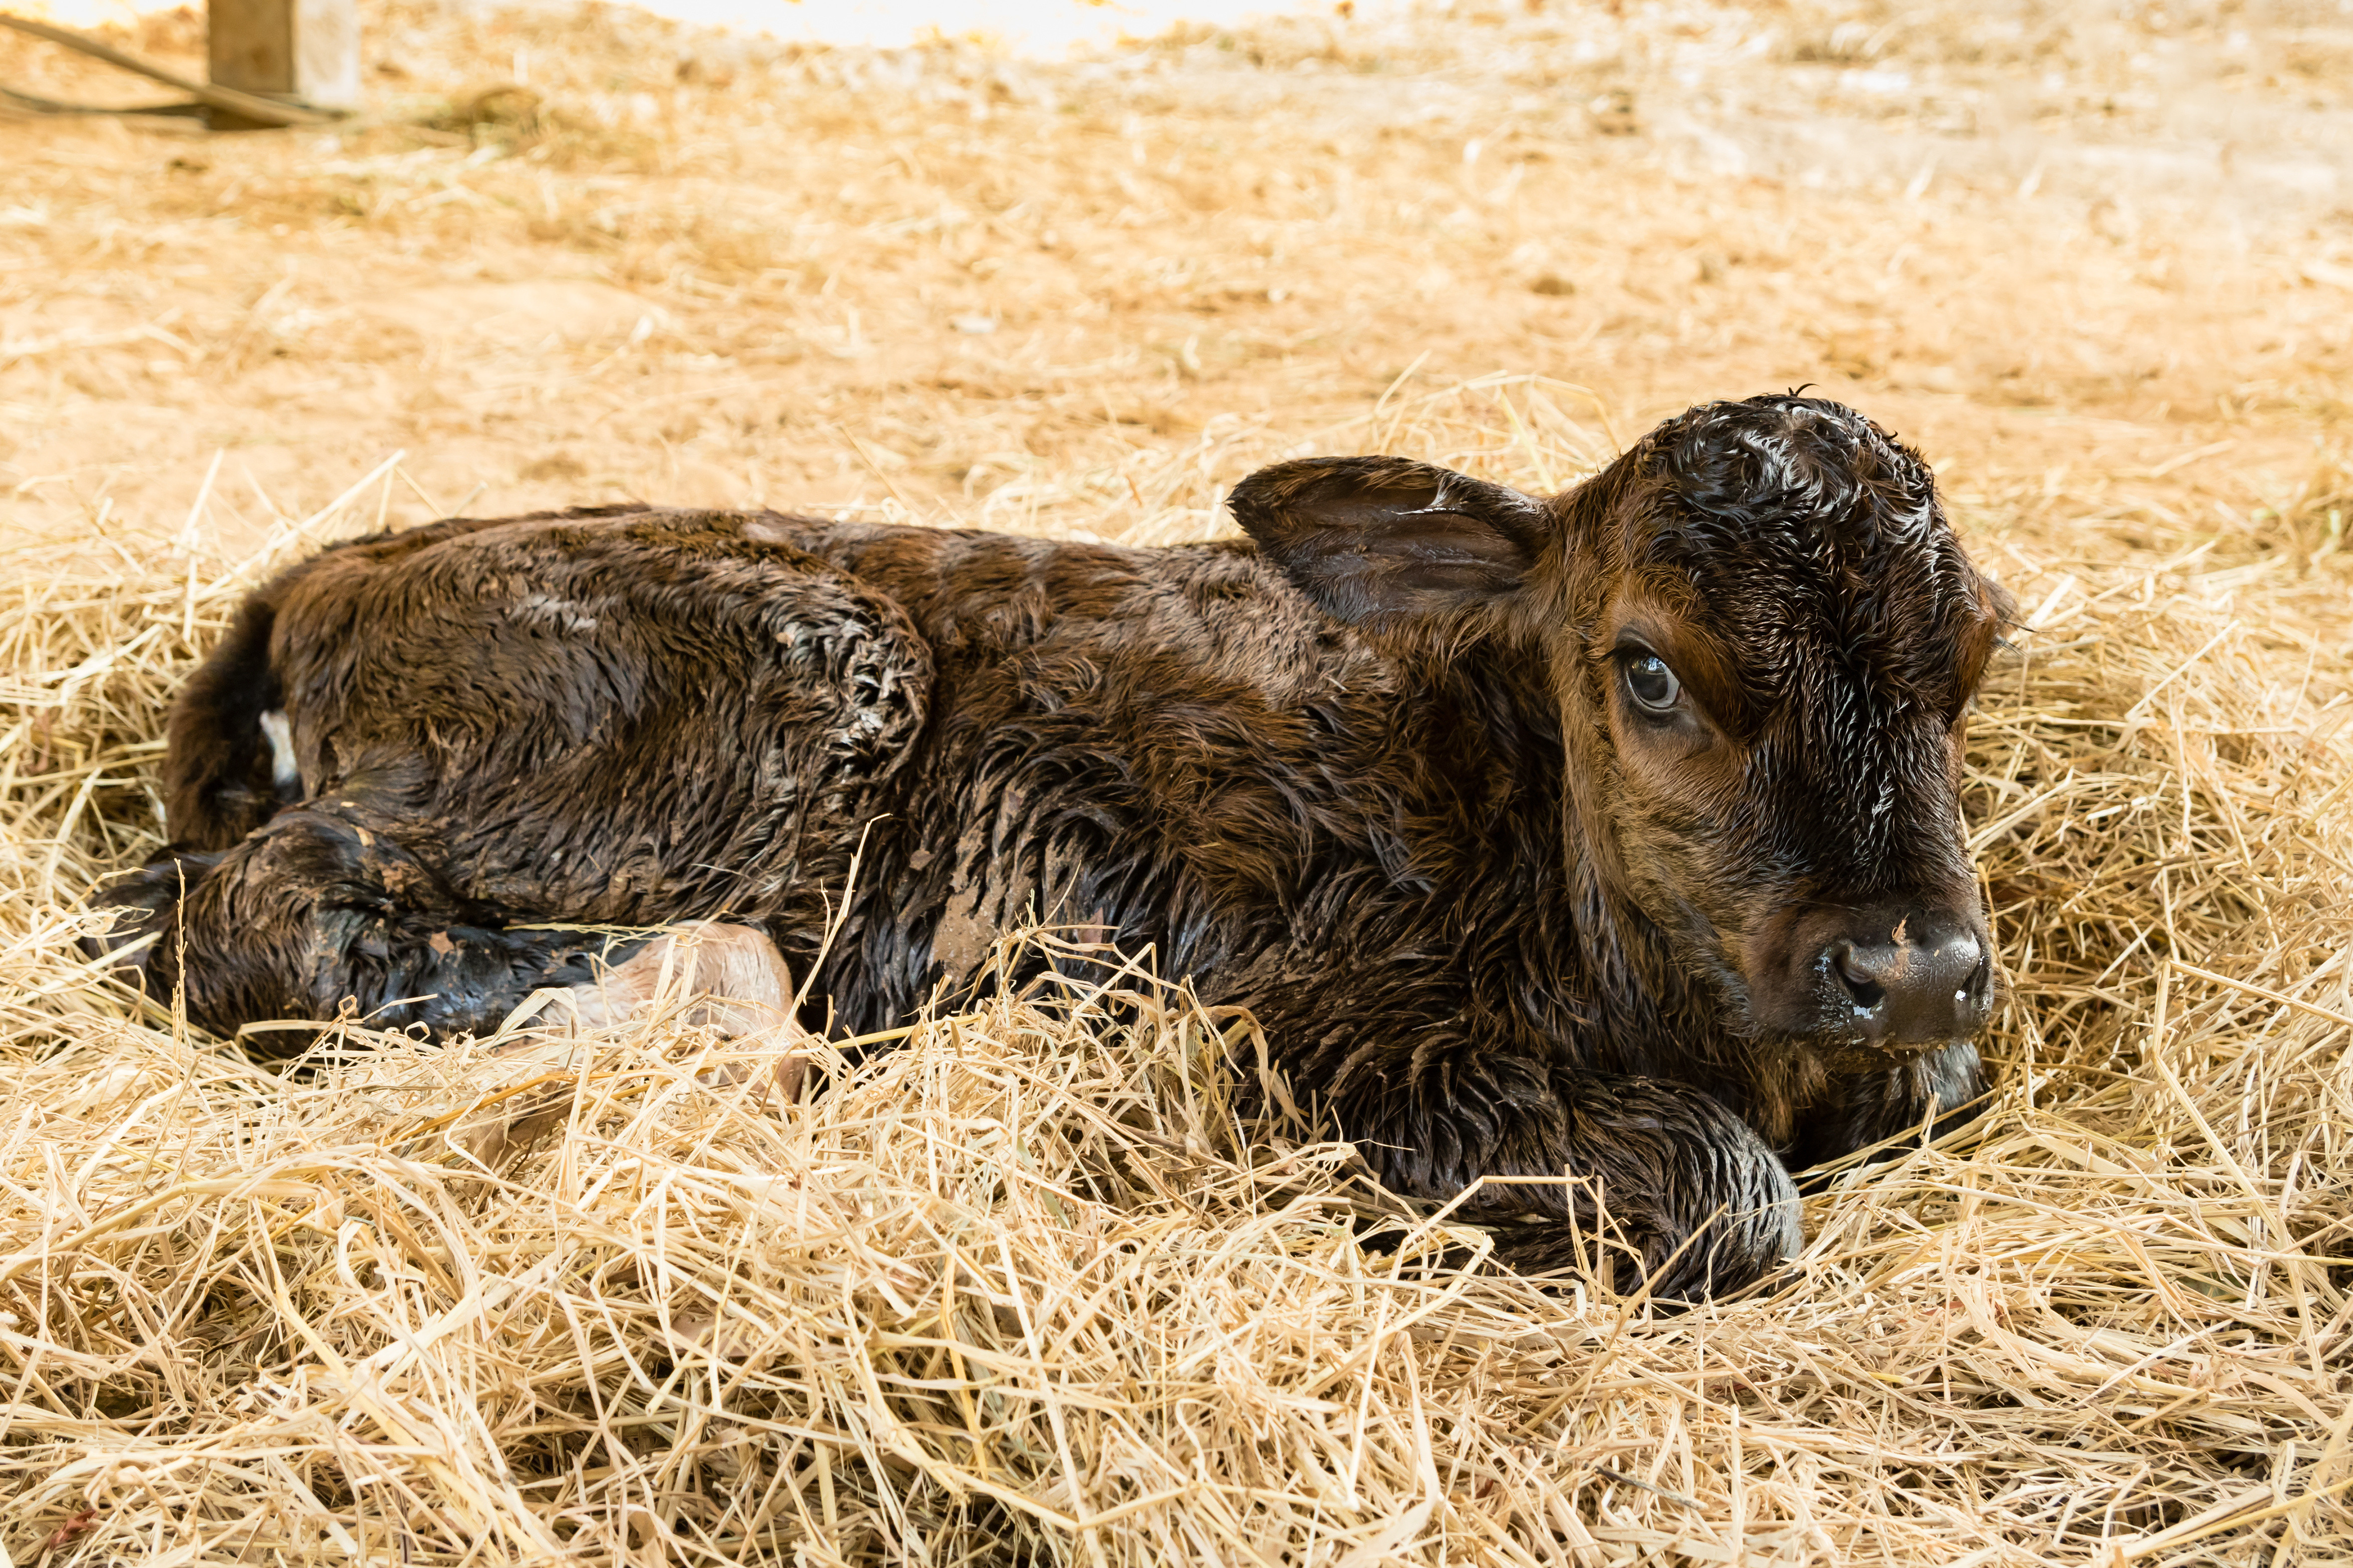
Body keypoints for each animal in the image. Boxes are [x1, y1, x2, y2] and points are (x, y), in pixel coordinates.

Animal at [88, 394, 2009, 1300]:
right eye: (1648, 669)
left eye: (1973, 654)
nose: (1909, 961)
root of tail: (331, 567)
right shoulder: (1332, 1040)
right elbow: (1732, 1197)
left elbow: (1924, 1091)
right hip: (755, 701)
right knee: (261, 915)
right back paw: (694, 1005)